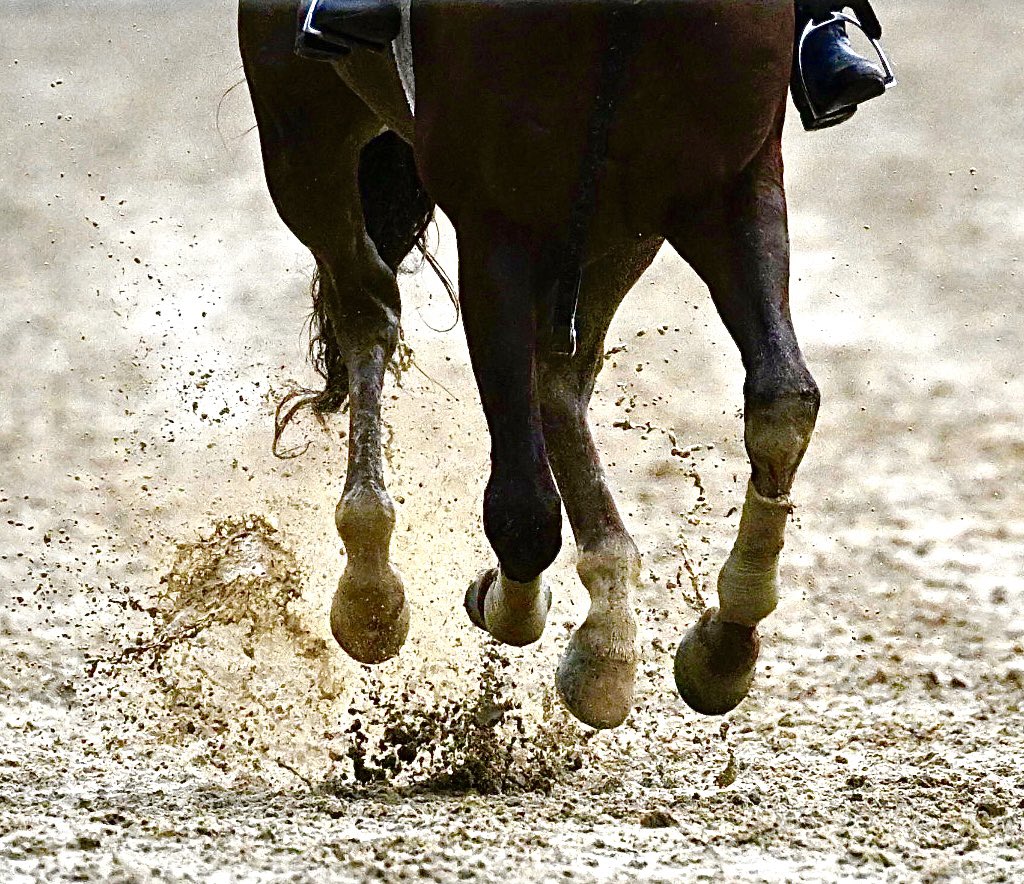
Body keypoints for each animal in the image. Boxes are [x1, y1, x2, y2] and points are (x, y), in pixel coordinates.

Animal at [237, 0, 815, 729]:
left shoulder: (728, 185)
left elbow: (784, 401)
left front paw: (724, 647)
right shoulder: (496, 225)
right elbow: (523, 509)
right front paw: (506, 604)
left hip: (618, 225)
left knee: (560, 376)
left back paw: (607, 634)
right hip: (302, 135)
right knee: (370, 310)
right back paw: (370, 587)